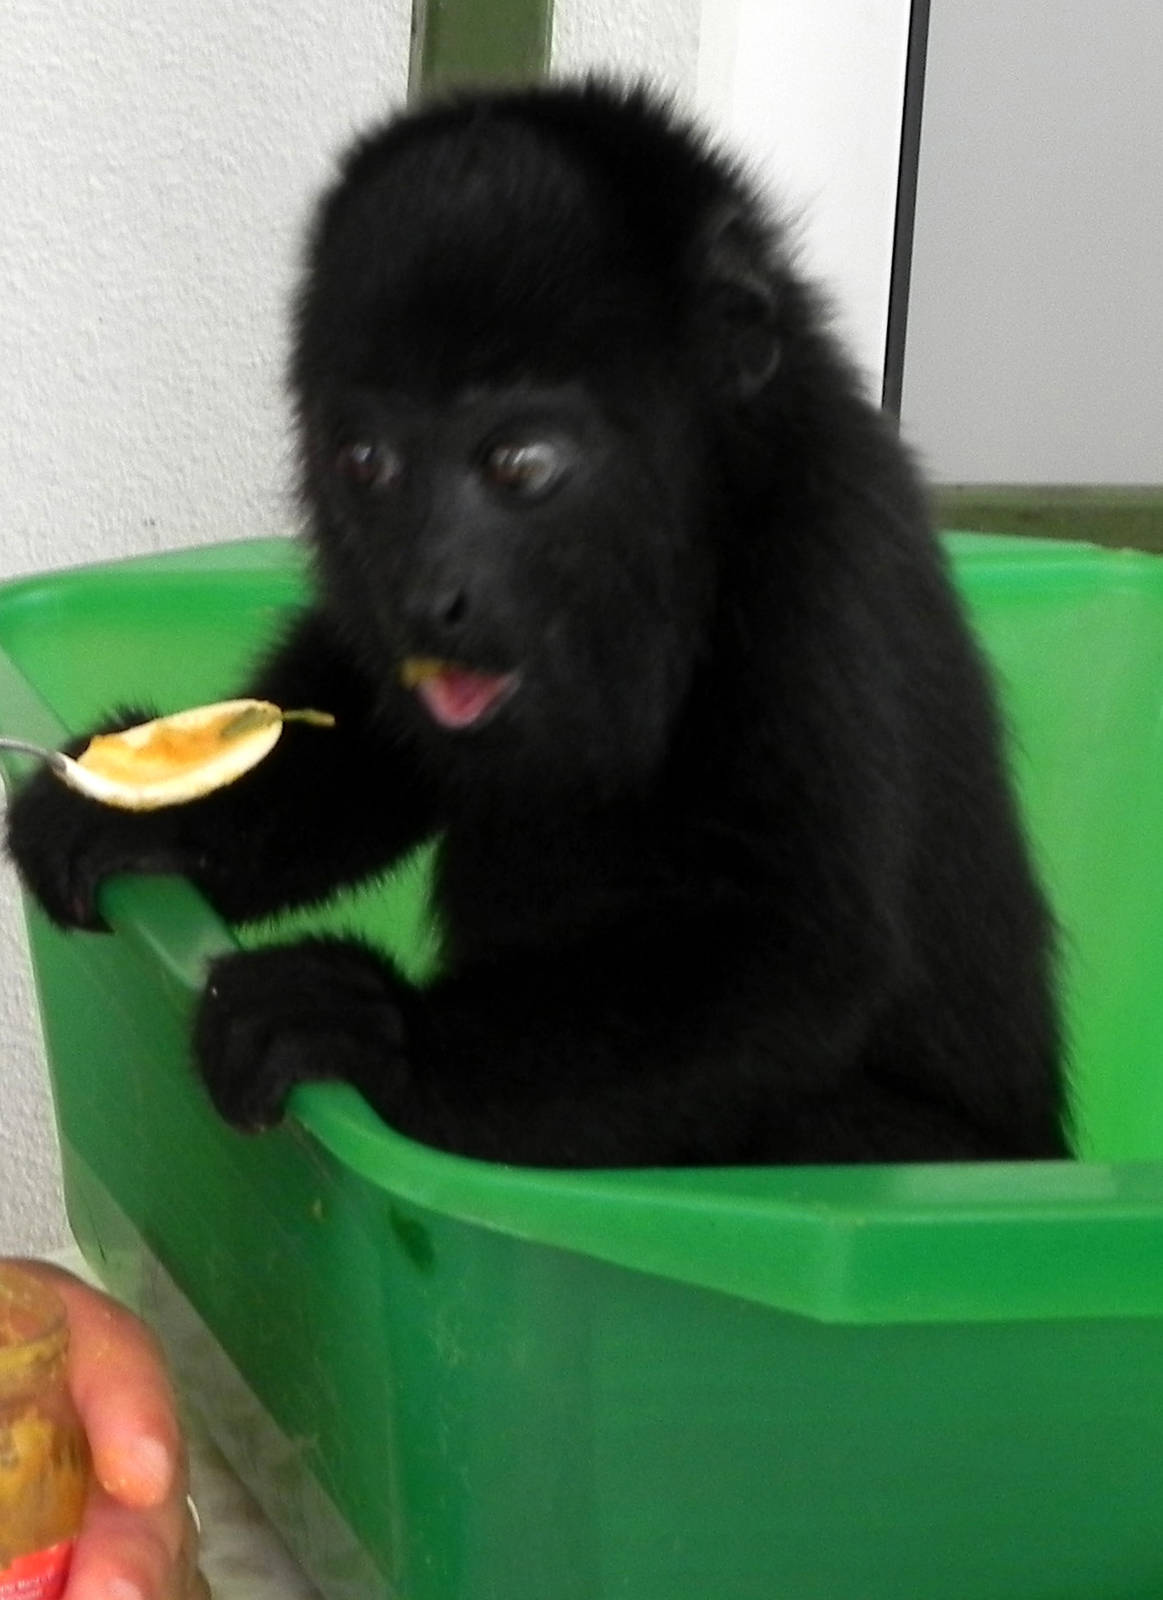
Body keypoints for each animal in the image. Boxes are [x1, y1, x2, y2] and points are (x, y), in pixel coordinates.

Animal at [6, 81, 1069, 1167]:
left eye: (518, 464)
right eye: (366, 461)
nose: (425, 595)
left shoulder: (817, 575)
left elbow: (793, 951)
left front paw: (373, 1036)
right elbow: (372, 738)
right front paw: (138, 810)